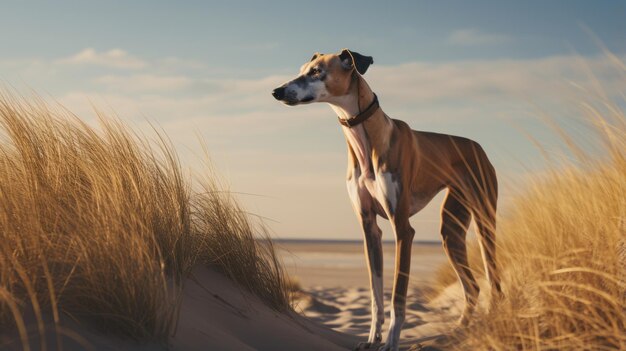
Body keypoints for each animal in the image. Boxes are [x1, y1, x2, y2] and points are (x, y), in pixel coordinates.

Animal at [270, 50, 500, 351]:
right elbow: (375, 294)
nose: (276, 91)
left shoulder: (403, 229)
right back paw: (458, 332)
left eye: (316, 71)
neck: (364, 139)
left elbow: (397, 297)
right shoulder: (369, 228)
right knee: (471, 286)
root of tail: (478, 146)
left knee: (494, 281)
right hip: (451, 230)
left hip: (485, 221)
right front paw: (372, 338)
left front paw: (391, 341)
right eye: (302, 69)